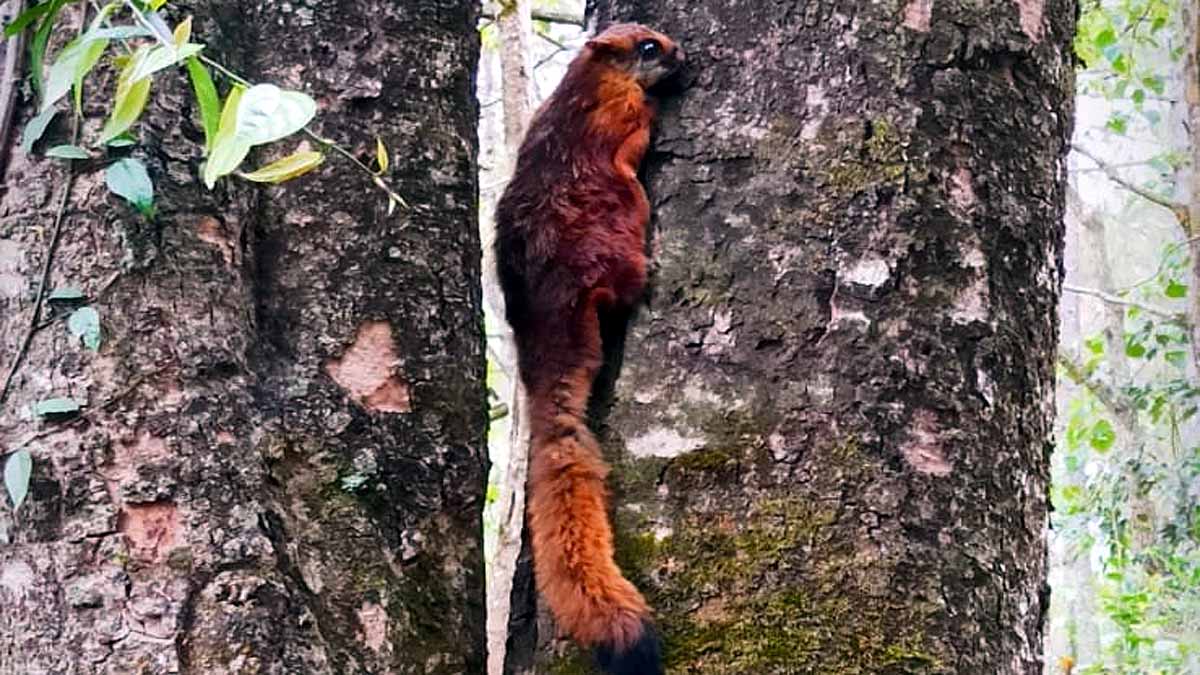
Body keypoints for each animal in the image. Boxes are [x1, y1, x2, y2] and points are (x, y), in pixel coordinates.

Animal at [494, 22, 684, 675]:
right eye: (650, 48)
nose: (683, 55)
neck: (590, 78)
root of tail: (545, 325)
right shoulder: (619, 110)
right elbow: (637, 130)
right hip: (609, 249)